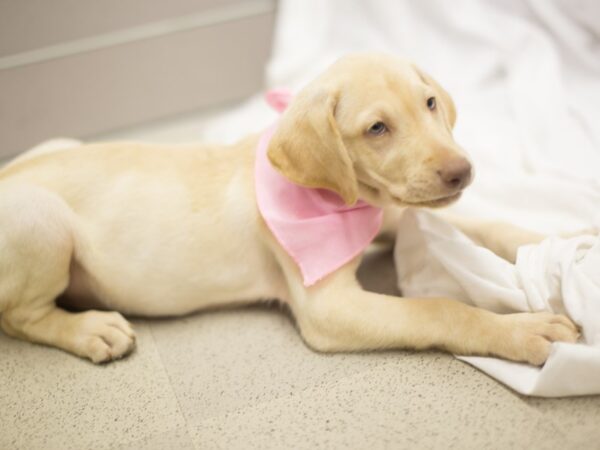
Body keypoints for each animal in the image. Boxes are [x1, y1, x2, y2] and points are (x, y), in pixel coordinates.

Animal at [0, 53, 576, 362]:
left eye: (430, 103)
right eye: (377, 129)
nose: (462, 171)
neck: (350, 198)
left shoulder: (395, 210)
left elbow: (489, 223)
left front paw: (565, 241)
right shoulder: (330, 310)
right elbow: (438, 308)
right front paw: (521, 331)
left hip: (57, 145)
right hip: (41, 222)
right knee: (19, 316)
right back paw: (90, 330)